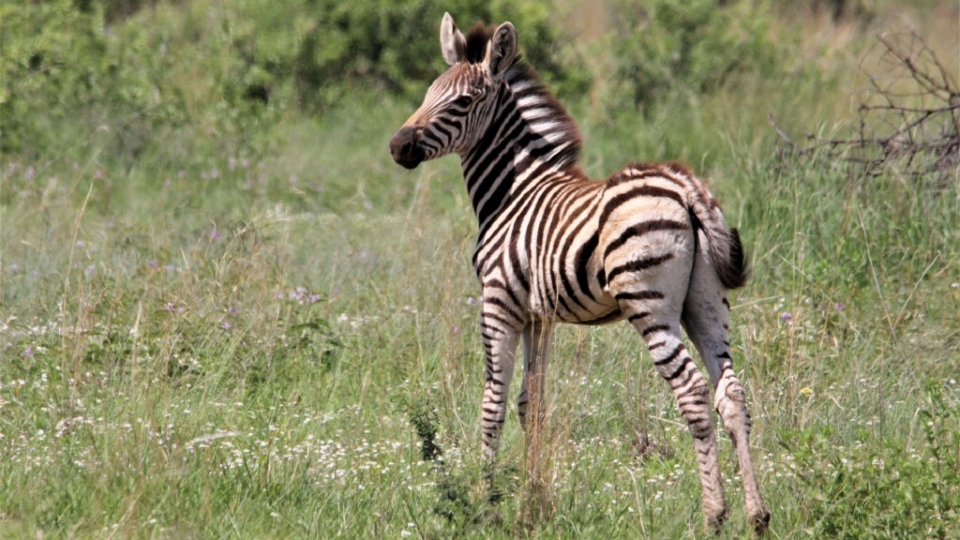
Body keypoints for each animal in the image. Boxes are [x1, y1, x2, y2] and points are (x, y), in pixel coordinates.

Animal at [390, 13, 772, 536]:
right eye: (428, 93)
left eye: (462, 102)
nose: (397, 146)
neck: (513, 191)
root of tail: (685, 188)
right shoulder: (538, 316)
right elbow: (532, 404)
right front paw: (531, 502)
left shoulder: (498, 304)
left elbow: (493, 404)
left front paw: (485, 505)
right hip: (706, 301)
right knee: (730, 394)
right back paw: (757, 515)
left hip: (649, 304)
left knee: (693, 394)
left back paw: (714, 515)